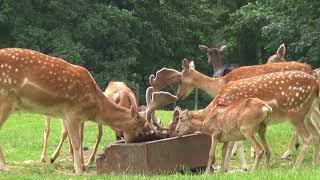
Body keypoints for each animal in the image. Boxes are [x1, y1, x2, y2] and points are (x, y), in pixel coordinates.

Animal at [175, 69, 320, 174]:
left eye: (181, 80)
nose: (177, 96)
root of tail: (316, 83)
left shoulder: (228, 125)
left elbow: (229, 147)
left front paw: (235, 168)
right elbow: (227, 147)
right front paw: (224, 169)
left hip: (295, 113)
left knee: (306, 137)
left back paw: (295, 167)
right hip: (306, 114)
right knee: (315, 134)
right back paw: (314, 164)